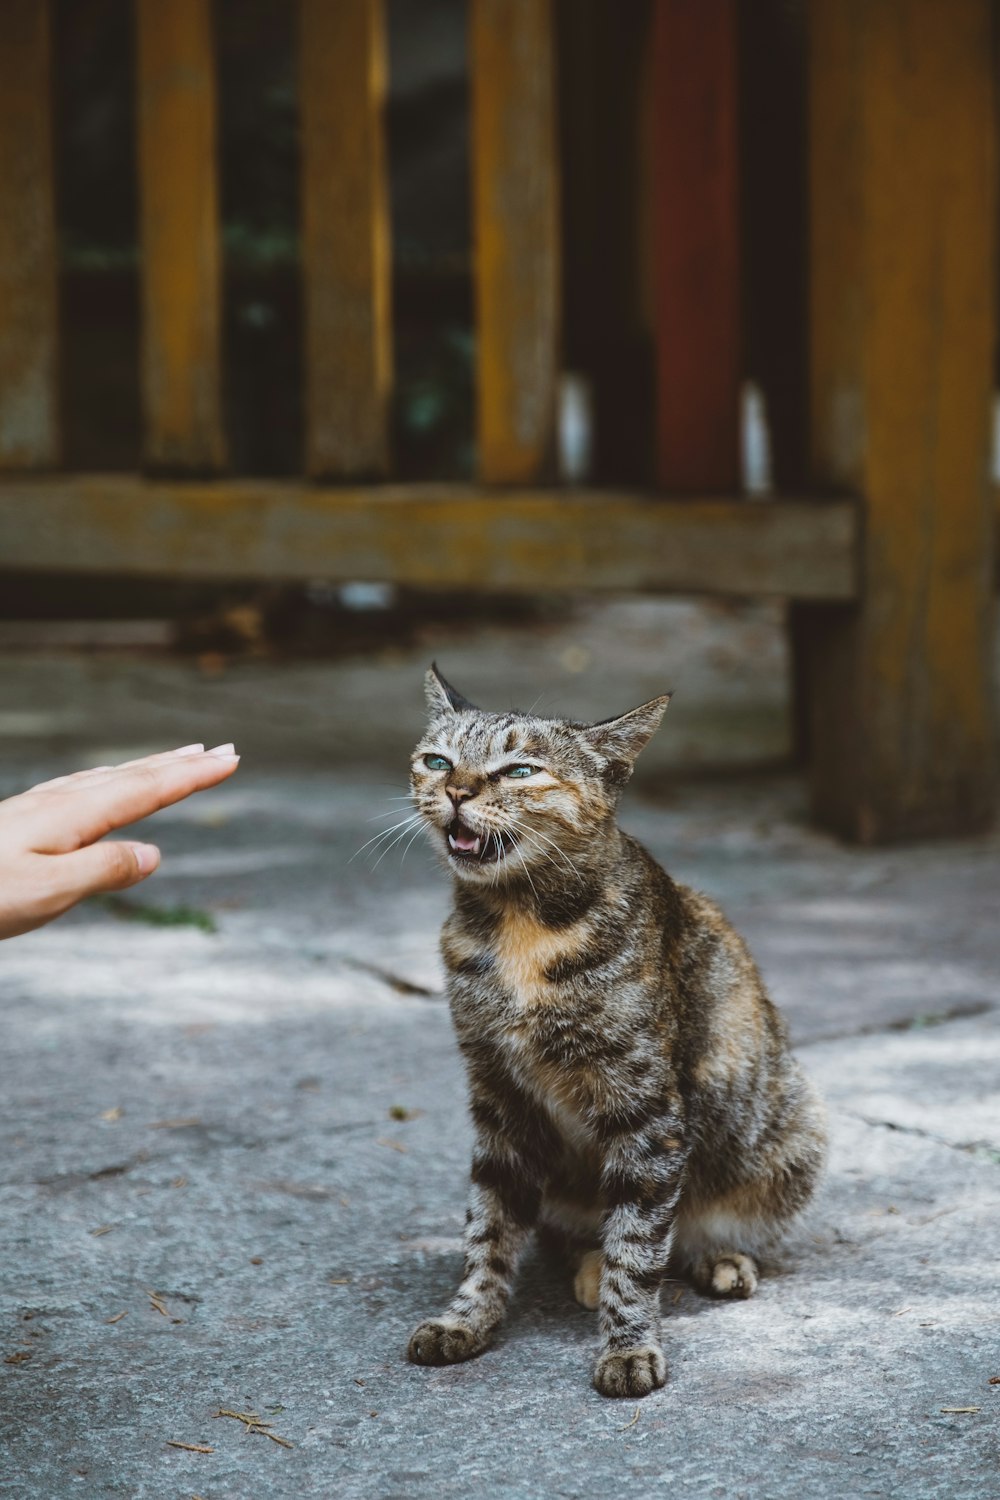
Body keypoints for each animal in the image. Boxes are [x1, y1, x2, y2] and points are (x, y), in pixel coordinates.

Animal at [401, 669, 827, 1392]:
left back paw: (718, 1258)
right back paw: (589, 1265)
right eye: (437, 761)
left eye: (519, 770)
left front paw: (627, 1346)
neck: (519, 926)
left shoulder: (646, 1112)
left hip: (790, 1129)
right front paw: (468, 1317)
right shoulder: (498, 1099)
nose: (457, 791)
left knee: (684, 1232)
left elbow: (639, 1242)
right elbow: (488, 1228)